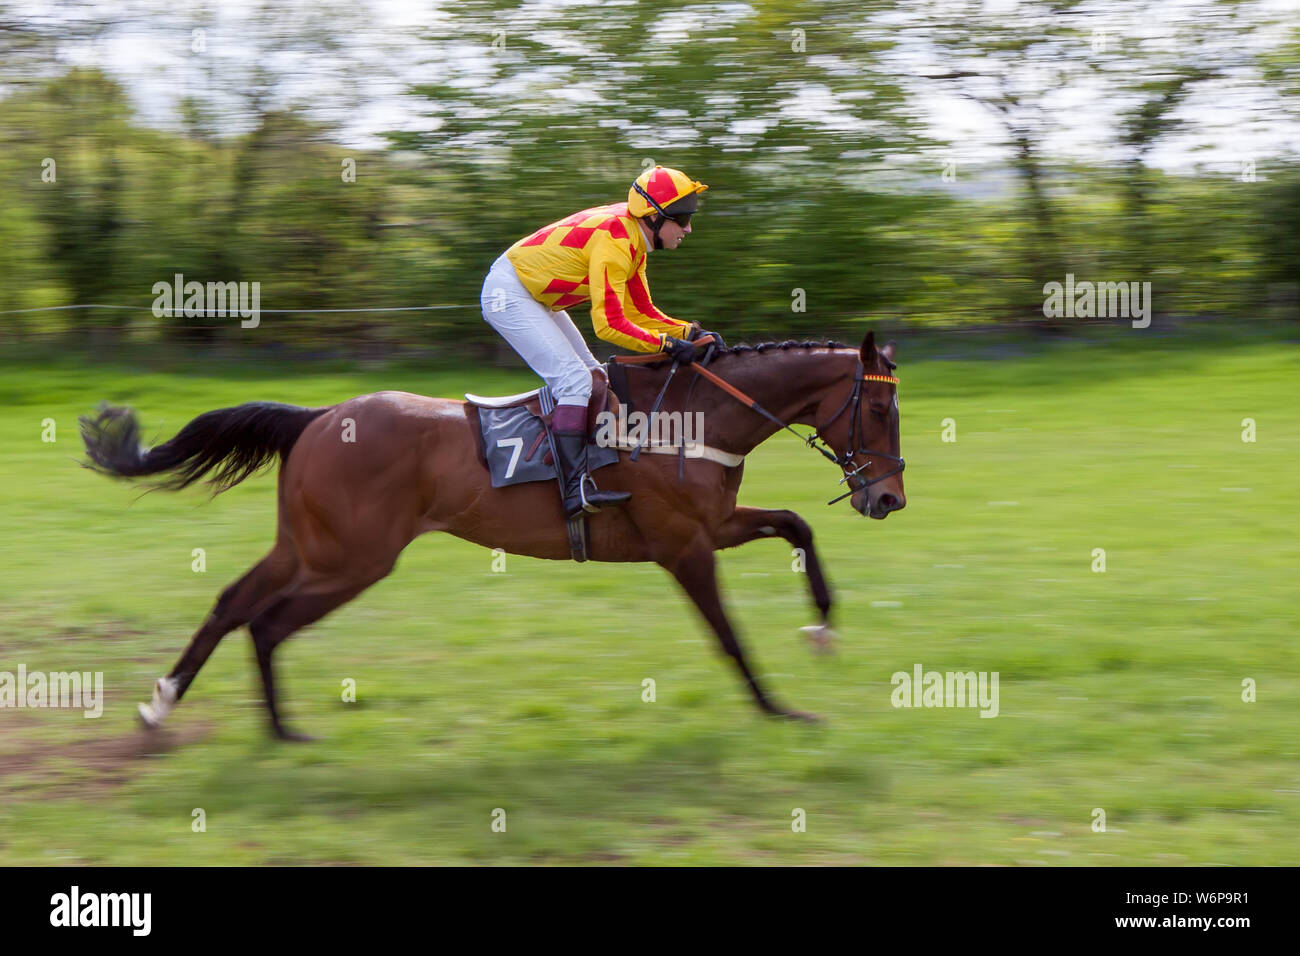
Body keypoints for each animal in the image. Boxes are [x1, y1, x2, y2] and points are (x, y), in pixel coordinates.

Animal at [78, 329, 904, 738]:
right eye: (878, 410)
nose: (890, 497)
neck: (693, 417)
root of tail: (316, 416)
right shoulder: (683, 547)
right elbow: (729, 635)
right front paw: (780, 710)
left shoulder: (715, 525)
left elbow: (795, 525)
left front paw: (823, 628)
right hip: (350, 559)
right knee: (267, 620)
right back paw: (277, 730)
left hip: (311, 547)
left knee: (233, 603)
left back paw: (169, 705)